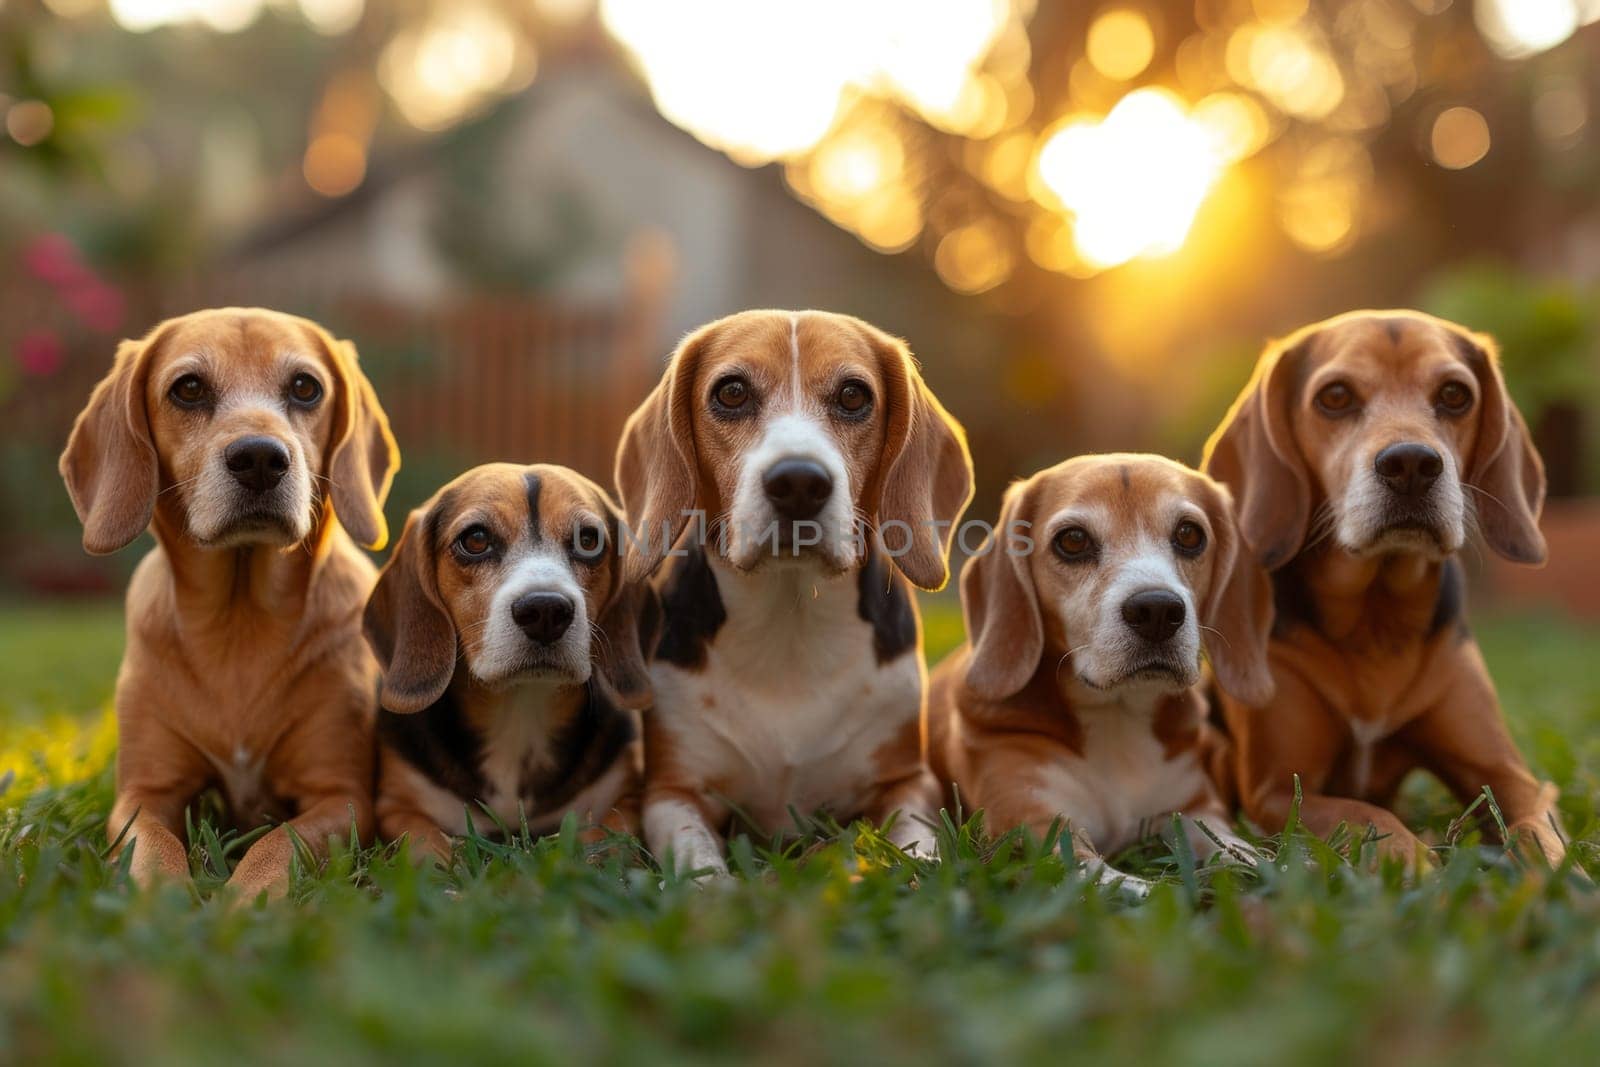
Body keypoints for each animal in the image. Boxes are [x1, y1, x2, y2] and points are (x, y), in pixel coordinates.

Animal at [61, 307, 400, 902]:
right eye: (189, 388)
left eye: (305, 388)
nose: (260, 457)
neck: (240, 626)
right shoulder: (144, 794)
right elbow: (153, 848)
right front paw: (168, 903)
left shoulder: (342, 797)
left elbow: (278, 844)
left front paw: (244, 901)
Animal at [363, 463, 649, 863]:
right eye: (476, 539)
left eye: (589, 540)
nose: (546, 610)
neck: (519, 710)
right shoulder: (397, 806)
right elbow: (425, 846)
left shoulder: (625, 800)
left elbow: (610, 842)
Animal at [614, 308, 972, 876]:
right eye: (732, 392)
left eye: (853, 396)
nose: (799, 482)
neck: (789, 626)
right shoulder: (673, 792)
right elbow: (697, 858)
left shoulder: (908, 783)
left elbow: (921, 847)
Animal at [934, 454, 1267, 889]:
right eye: (1073, 540)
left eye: (1189, 534)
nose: (1157, 610)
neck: (1117, 715)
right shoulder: (1035, 824)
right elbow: (1115, 883)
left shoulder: (1196, 811)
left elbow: (1238, 850)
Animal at [1203, 307, 1561, 870]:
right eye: (1335, 396)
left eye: (1455, 394)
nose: (1411, 463)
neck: (1375, 621)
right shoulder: (1275, 792)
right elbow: (1369, 816)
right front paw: (1419, 867)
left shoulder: (1506, 773)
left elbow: (1538, 832)